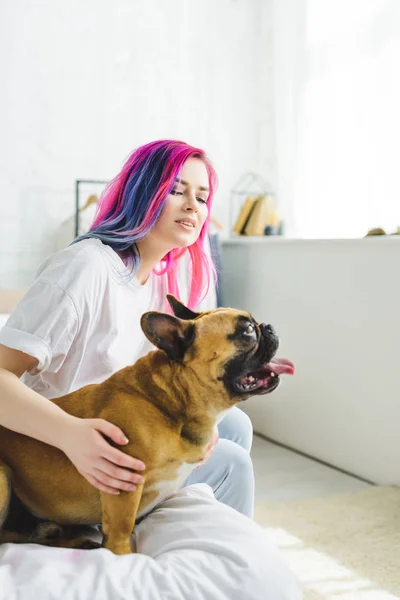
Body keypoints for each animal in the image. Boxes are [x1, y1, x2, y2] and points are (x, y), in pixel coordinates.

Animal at [0, 298, 294, 556]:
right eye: (247, 331)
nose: (268, 326)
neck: (173, 400)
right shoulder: (123, 484)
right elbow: (120, 531)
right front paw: (121, 557)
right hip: (3, 477)